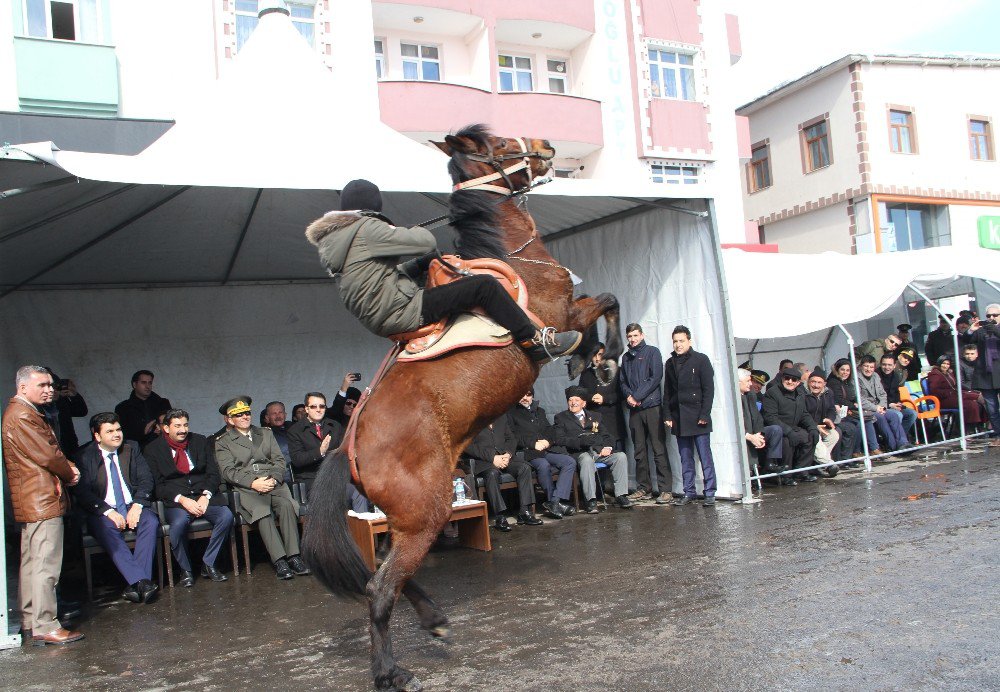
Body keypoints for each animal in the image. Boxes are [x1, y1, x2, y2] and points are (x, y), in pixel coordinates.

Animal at [300, 124, 620, 692]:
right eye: (497, 147)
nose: (545, 149)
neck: (512, 257)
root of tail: (348, 448)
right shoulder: (564, 313)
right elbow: (604, 304)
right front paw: (598, 357)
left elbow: (604, 306)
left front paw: (595, 361)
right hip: (426, 514)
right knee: (380, 589)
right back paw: (389, 671)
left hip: (408, 521)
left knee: (383, 578)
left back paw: (433, 619)